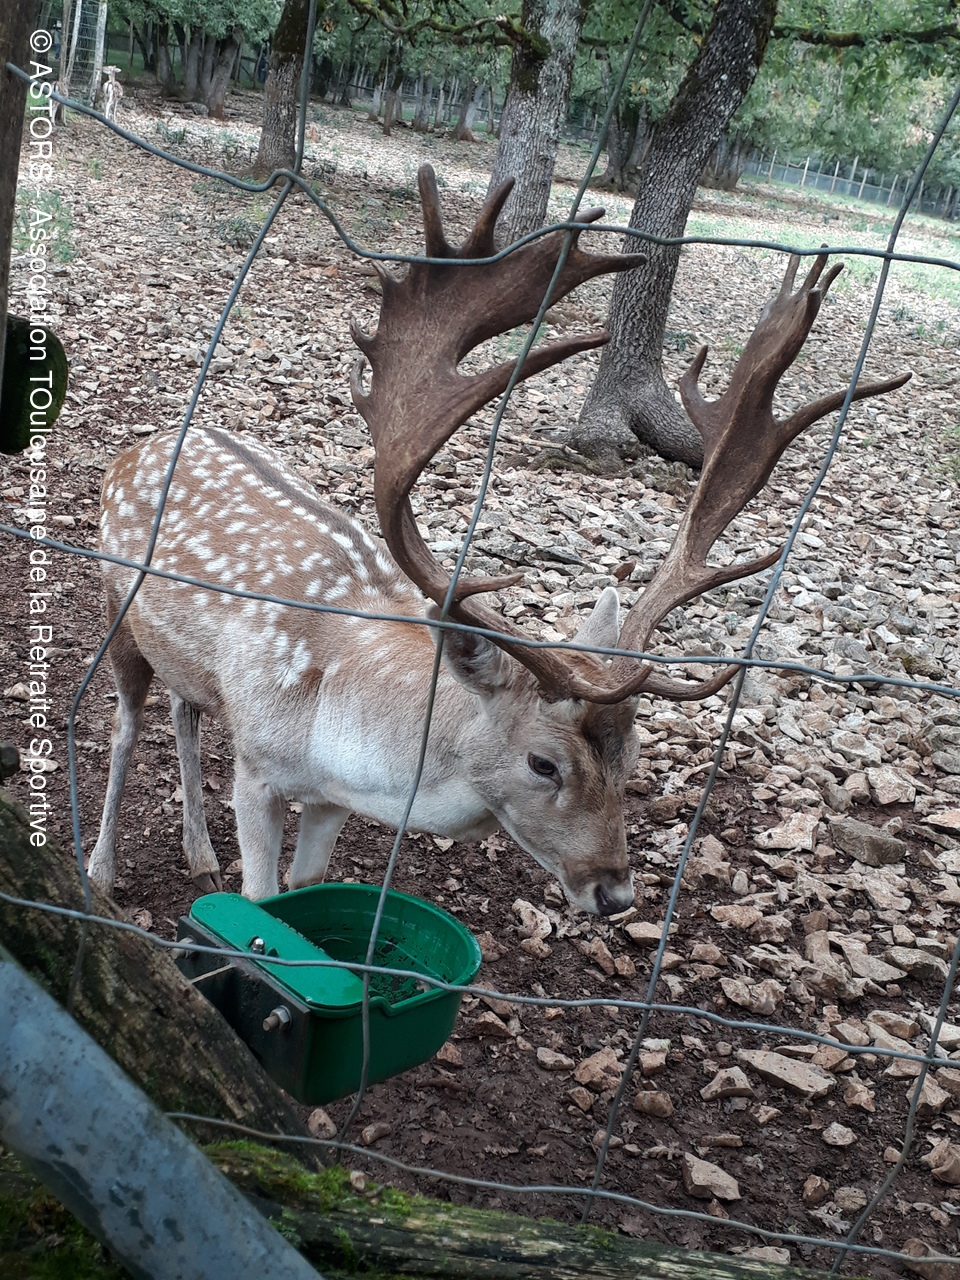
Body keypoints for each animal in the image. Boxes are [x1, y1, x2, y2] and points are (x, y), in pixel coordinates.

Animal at [87, 165, 908, 915]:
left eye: (633, 753)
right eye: (543, 763)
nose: (615, 892)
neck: (341, 734)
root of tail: (140, 445)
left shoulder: (330, 799)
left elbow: (304, 891)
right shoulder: (259, 766)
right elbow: (261, 902)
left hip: (184, 662)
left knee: (185, 711)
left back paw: (198, 855)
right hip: (117, 612)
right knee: (127, 727)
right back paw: (100, 869)